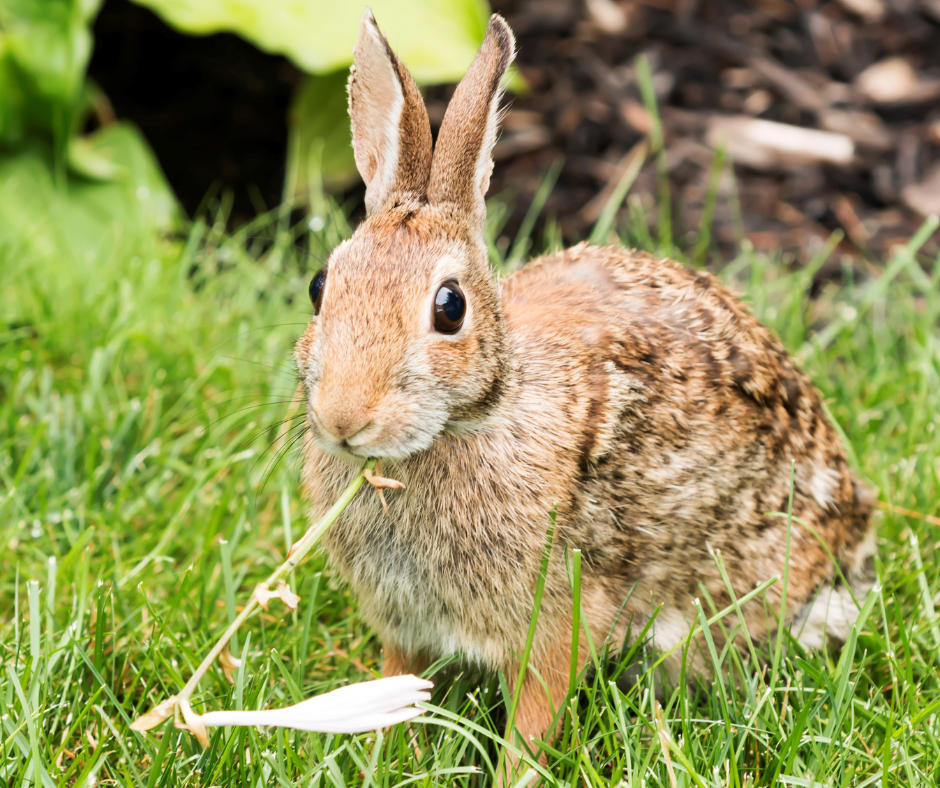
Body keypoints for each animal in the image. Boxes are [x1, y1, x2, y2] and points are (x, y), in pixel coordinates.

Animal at [294, 7, 876, 762]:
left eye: (449, 308)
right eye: (319, 286)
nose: (344, 418)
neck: (474, 420)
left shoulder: (556, 617)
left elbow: (535, 716)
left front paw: (512, 771)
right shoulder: (403, 621)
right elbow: (399, 685)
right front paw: (385, 756)